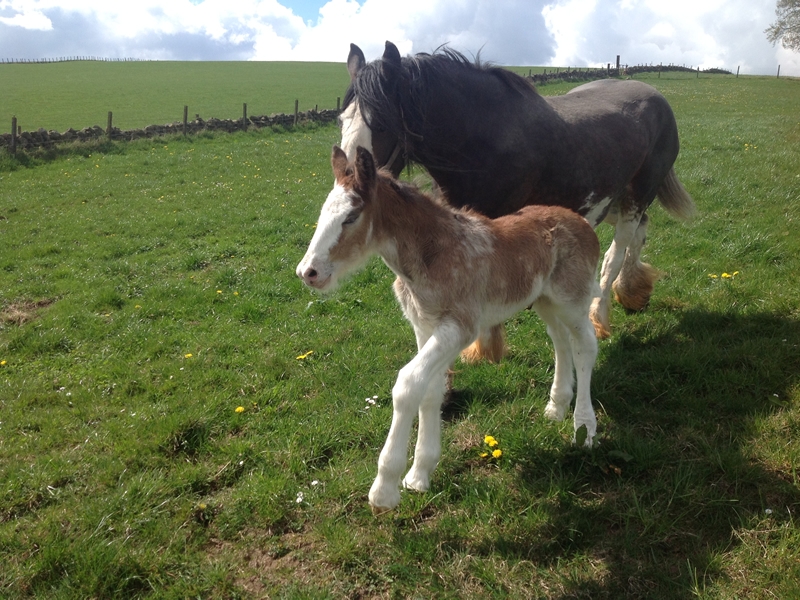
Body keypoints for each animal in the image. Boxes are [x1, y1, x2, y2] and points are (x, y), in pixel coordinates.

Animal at [298, 148, 600, 512]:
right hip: (544, 300)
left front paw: (385, 489)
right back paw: (556, 408)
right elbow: (431, 390)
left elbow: (408, 384)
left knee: (585, 345)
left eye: (351, 217)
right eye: (324, 212)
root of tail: (583, 223)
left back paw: (584, 428)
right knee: (560, 341)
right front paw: (419, 475)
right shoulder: (425, 328)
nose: (308, 272)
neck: (432, 255)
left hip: (573, 300)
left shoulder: (459, 327)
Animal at [338, 42, 692, 358]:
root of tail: (656, 97)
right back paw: (632, 291)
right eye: (342, 120)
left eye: (381, 123)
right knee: (639, 232)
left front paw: (484, 347)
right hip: (611, 201)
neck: (482, 140)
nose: (349, 186)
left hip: (637, 196)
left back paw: (600, 316)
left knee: (615, 254)